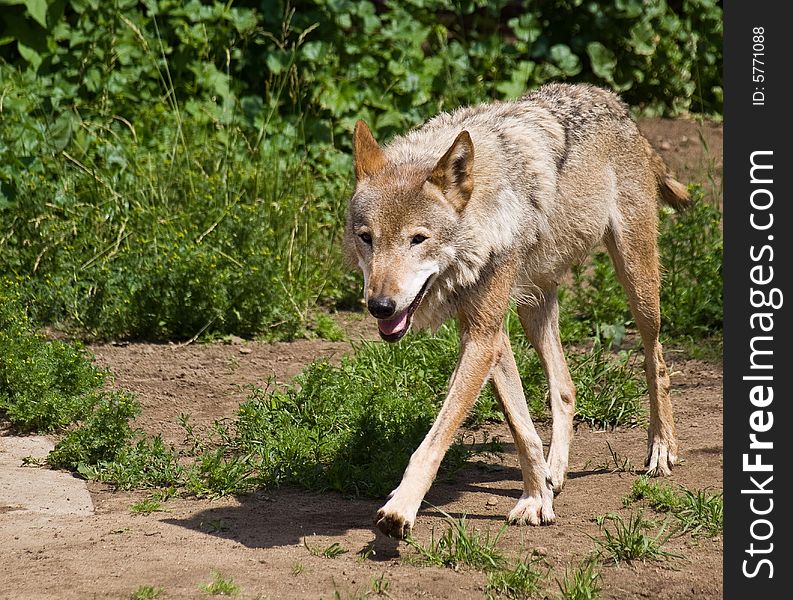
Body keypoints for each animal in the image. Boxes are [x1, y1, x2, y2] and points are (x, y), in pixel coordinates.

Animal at [344, 83, 688, 540]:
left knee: (656, 360)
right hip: (531, 307)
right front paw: (537, 497)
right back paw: (555, 472)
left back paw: (661, 449)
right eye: (366, 238)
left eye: (418, 239)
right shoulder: (489, 335)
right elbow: (522, 427)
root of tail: (614, 102)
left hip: (638, 286)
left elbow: (435, 439)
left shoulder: (483, 335)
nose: (380, 306)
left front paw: (401, 509)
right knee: (566, 387)